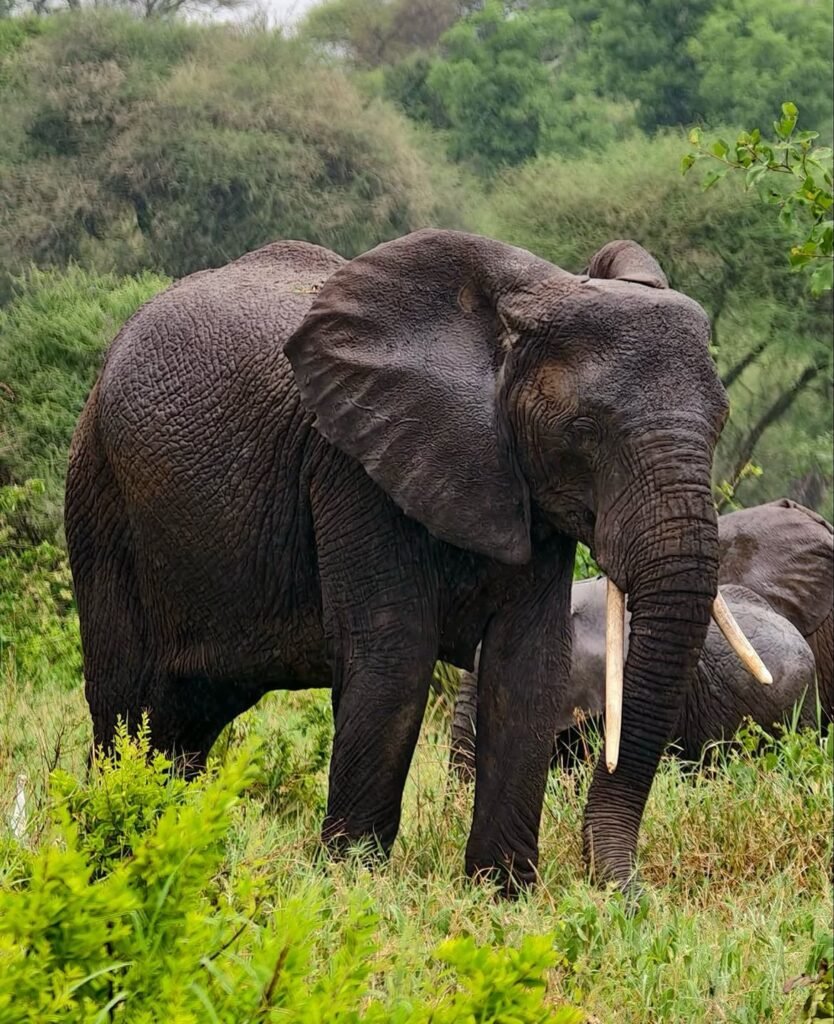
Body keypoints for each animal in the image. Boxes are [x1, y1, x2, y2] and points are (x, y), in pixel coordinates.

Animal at [66, 228, 765, 897]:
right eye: (585, 430)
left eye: (721, 422)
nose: (627, 894)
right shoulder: (353, 465)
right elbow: (396, 657)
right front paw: (351, 883)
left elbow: (528, 665)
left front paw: (503, 896)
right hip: (101, 493)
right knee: (126, 702)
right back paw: (115, 845)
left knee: (186, 717)